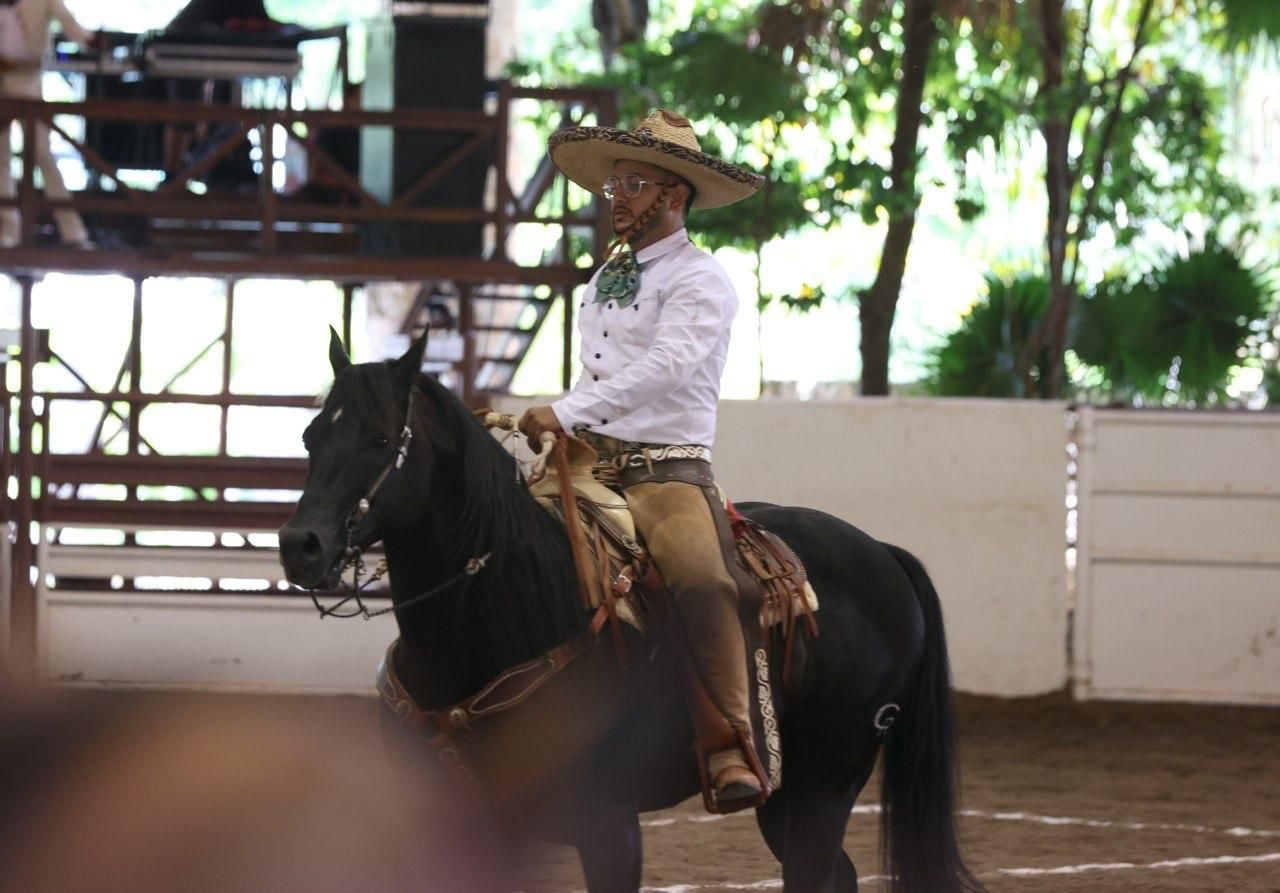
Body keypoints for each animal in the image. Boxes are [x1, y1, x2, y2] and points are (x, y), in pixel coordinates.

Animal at [277, 332, 977, 890]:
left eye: (379, 439)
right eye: (311, 435)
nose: (300, 545)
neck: (506, 614)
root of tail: (884, 553)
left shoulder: (609, 828)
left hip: (822, 786)